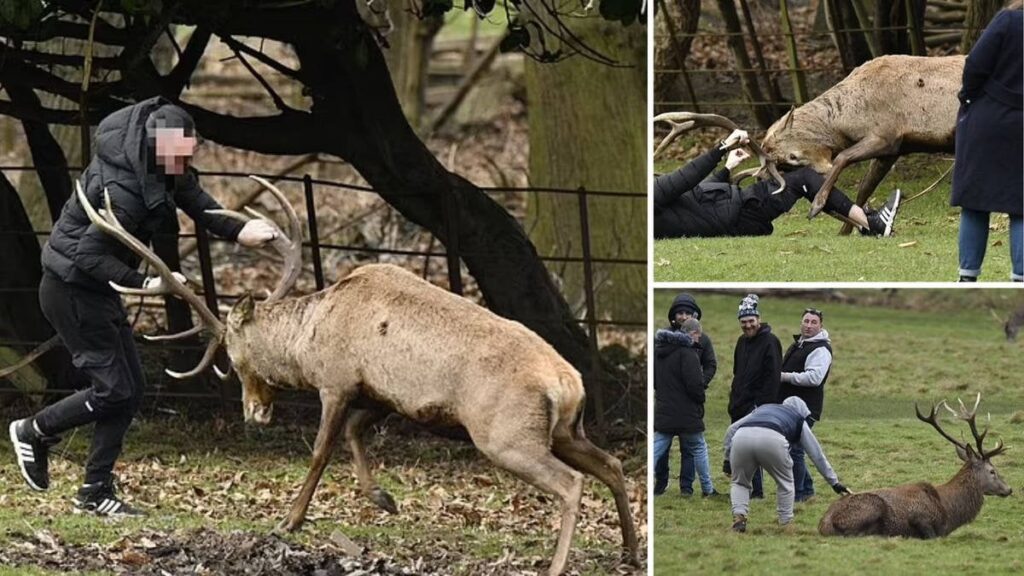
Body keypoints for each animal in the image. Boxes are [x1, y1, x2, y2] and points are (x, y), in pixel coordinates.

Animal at [69, 179, 639, 576]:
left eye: (231, 354)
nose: (254, 412)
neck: (311, 339)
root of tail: (569, 384)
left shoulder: (337, 380)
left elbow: (321, 448)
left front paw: (290, 520)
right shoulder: (378, 393)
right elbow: (354, 433)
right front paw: (384, 498)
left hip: (506, 434)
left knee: (571, 483)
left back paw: (559, 564)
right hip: (565, 429)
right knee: (612, 465)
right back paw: (631, 552)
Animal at [818, 394, 1011, 538]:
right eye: (992, 471)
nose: (1009, 489)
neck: (949, 512)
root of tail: (823, 524)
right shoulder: (920, 518)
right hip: (871, 506)